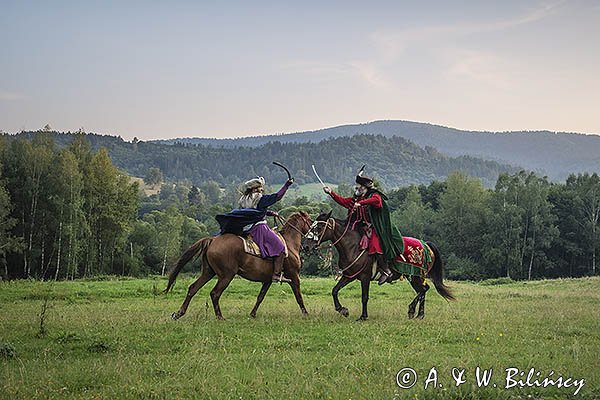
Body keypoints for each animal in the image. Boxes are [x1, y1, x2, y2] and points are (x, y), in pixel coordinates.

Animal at [165, 211, 312, 320]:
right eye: (310, 221)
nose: (309, 245)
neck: (290, 243)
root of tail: (212, 240)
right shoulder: (293, 275)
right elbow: (299, 296)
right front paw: (306, 314)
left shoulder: (268, 280)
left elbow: (260, 297)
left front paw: (252, 314)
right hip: (226, 275)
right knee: (215, 293)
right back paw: (220, 317)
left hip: (208, 272)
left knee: (193, 288)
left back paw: (179, 313)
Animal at [304, 212, 454, 322]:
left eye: (318, 228)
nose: (306, 247)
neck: (353, 246)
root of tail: (426, 245)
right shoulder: (349, 276)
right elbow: (334, 291)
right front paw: (343, 310)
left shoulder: (365, 277)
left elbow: (364, 297)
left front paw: (363, 316)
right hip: (413, 277)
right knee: (422, 290)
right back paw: (418, 314)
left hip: (416, 275)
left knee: (423, 290)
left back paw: (413, 311)